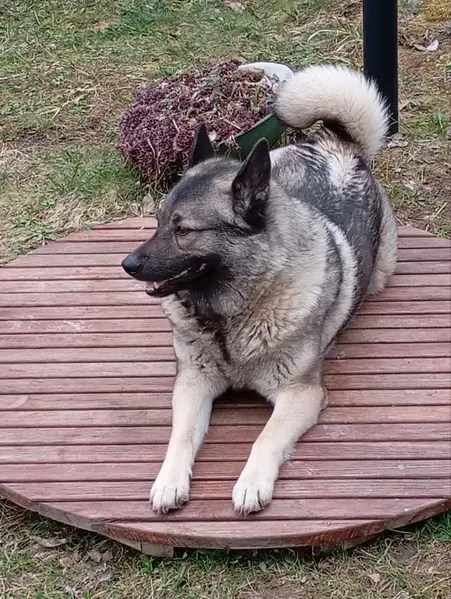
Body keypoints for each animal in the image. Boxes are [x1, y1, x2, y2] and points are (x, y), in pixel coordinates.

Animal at [122, 64, 398, 516]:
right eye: (158, 223)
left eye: (183, 230)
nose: (127, 265)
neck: (230, 316)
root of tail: (339, 144)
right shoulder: (192, 384)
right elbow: (180, 437)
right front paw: (168, 481)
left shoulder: (301, 395)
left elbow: (264, 438)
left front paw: (251, 483)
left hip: (381, 271)